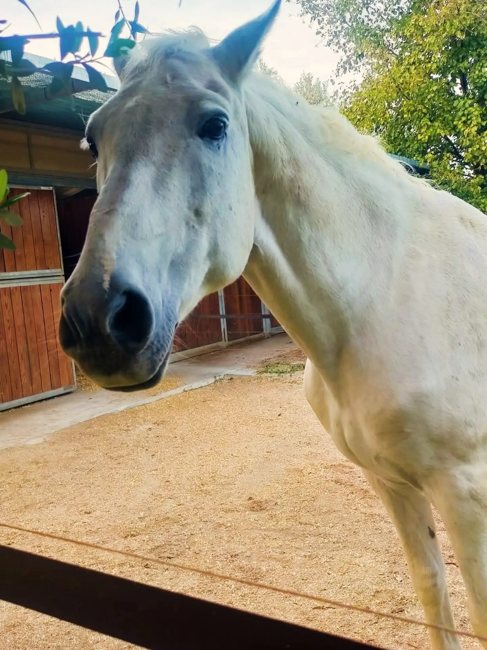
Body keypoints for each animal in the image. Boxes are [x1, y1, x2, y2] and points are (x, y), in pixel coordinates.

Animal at [59, 2, 487, 647]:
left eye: (215, 125)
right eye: (93, 136)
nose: (99, 319)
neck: (382, 299)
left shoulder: (466, 495)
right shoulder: (393, 486)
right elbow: (435, 598)